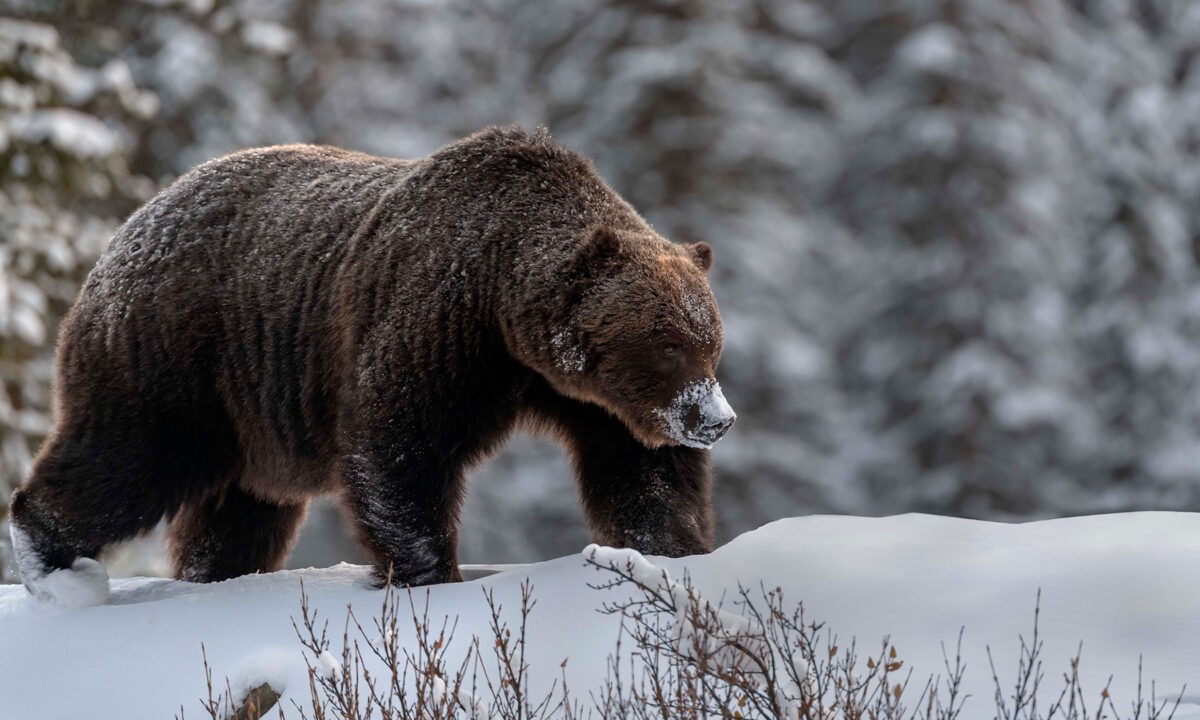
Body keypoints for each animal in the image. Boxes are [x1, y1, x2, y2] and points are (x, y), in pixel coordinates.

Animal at [9, 126, 734, 604]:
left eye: (711, 341)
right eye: (667, 342)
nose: (716, 418)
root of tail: (123, 232)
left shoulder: (587, 398)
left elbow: (641, 472)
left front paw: (670, 551)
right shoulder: (437, 324)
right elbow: (399, 447)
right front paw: (428, 574)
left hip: (248, 414)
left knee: (239, 513)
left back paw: (217, 576)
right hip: (176, 355)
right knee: (128, 457)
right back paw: (52, 562)